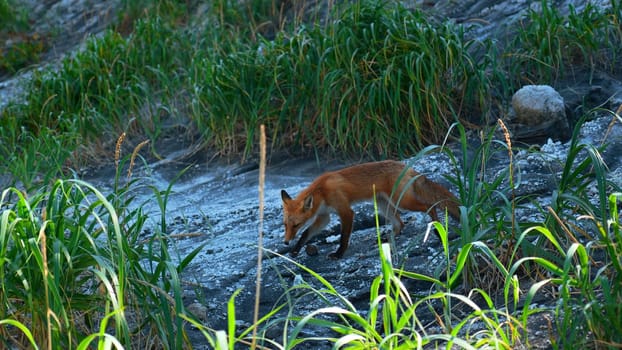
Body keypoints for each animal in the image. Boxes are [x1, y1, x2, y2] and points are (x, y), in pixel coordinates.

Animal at [280, 160, 460, 258]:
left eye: (295, 224)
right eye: (285, 225)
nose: (286, 241)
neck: (322, 191)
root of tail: (408, 167)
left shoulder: (345, 211)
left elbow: (344, 237)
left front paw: (339, 254)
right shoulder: (324, 217)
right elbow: (306, 234)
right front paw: (295, 250)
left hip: (402, 201)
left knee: (429, 206)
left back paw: (437, 229)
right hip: (383, 204)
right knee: (400, 224)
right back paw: (388, 239)